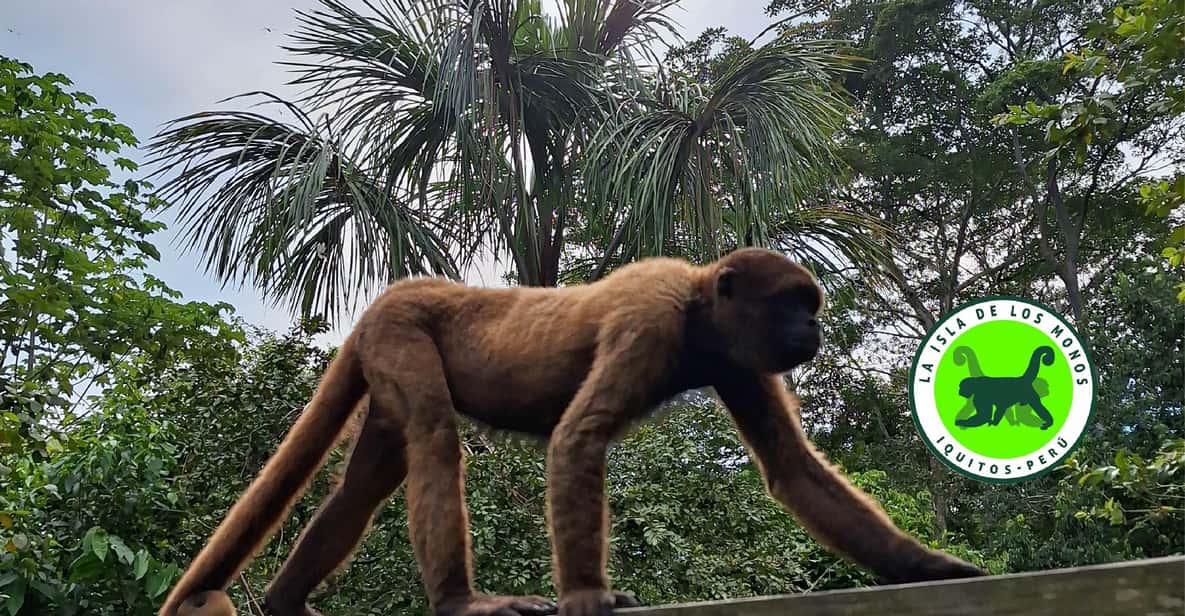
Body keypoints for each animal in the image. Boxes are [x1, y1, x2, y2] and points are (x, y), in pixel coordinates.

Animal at [160, 247, 985, 616]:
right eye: (793, 305)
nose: (812, 331)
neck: (697, 308)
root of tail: (386, 300)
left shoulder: (739, 360)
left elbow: (790, 467)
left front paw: (924, 566)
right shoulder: (647, 324)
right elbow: (577, 439)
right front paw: (587, 593)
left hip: (385, 365)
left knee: (369, 480)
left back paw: (284, 601)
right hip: (402, 338)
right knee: (432, 438)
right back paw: (461, 602)